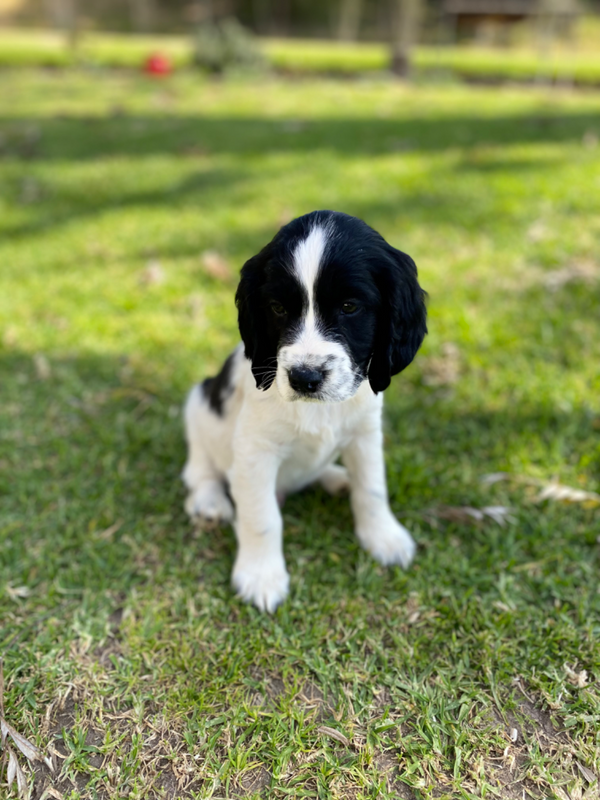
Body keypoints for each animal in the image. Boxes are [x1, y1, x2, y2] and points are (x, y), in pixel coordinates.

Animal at [183, 209, 426, 608]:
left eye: (349, 306)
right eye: (278, 308)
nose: (304, 377)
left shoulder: (365, 434)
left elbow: (372, 488)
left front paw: (384, 538)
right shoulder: (255, 451)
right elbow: (262, 517)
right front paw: (261, 576)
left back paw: (336, 478)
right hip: (199, 403)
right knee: (199, 469)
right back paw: (210, 501)